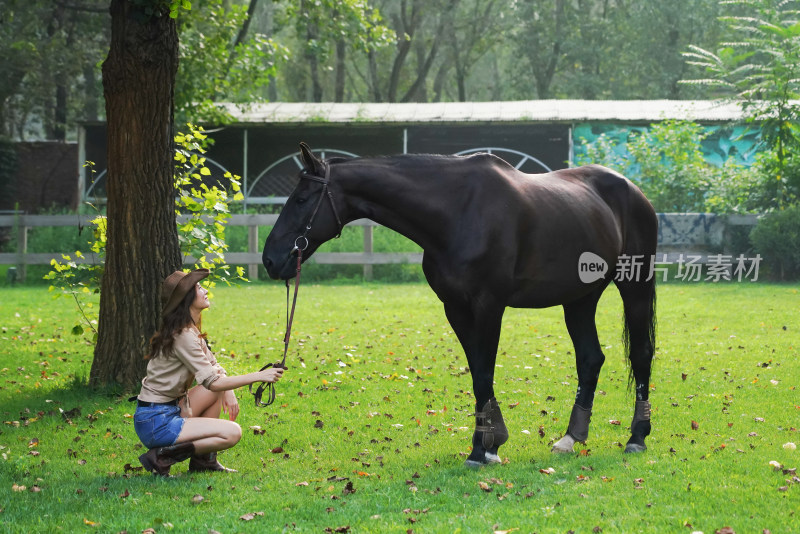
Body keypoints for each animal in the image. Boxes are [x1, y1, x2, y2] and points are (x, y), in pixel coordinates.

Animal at [262, 143, 656, 468]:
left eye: (301, 199)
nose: (270, 259)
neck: (457, 211)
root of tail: (633, 190)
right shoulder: (455, 309)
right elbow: (477, 373)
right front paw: (490, 444)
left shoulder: (489, 306)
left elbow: (484, 374)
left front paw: (483, 449)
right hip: (579, 299)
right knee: (590, 359)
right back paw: (571, 438)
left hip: (634, 287)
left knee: (641, 354)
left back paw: (637, 437)